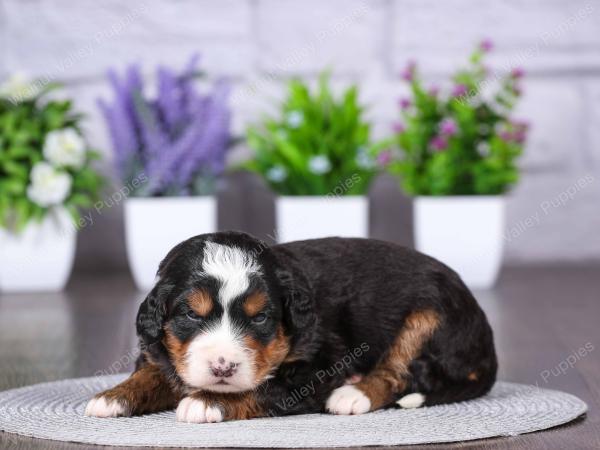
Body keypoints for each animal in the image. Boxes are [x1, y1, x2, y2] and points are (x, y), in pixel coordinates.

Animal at [84, 232, 496, 422]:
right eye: (192, 315)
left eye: (260, 318)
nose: (222, 367)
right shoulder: (159, 349)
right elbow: (153, 372)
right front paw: (113, 396)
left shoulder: (318, 366)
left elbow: (264, 386)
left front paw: (207, 401)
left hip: (428, 316)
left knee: (400, 374)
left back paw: (352, 394)